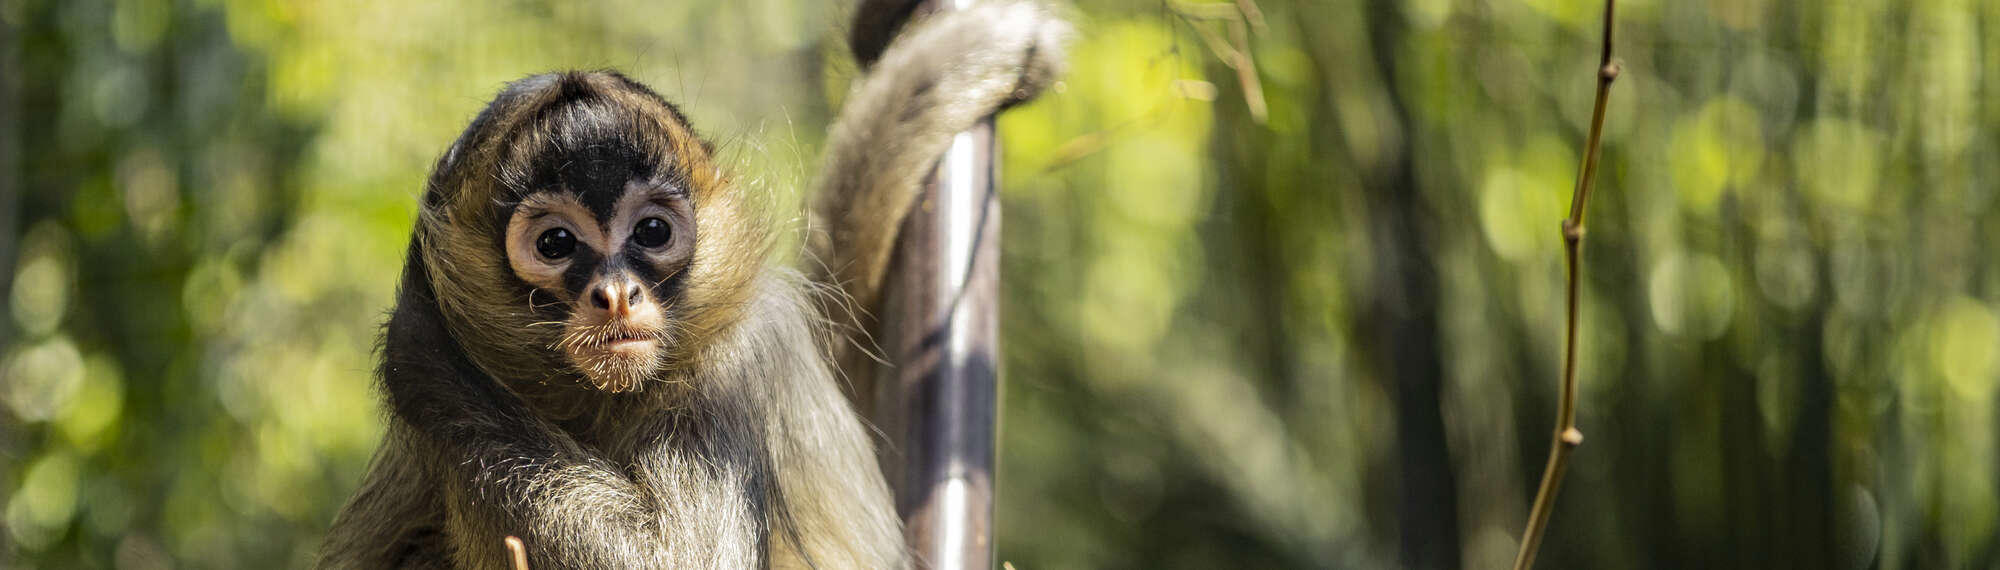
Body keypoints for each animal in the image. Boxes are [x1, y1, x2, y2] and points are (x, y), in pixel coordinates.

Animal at [313, 2, 1065, 569]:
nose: (616, 294)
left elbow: (679, 558)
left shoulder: (736, 361)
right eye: (556, 244)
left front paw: (422, 336)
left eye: (650, 232)